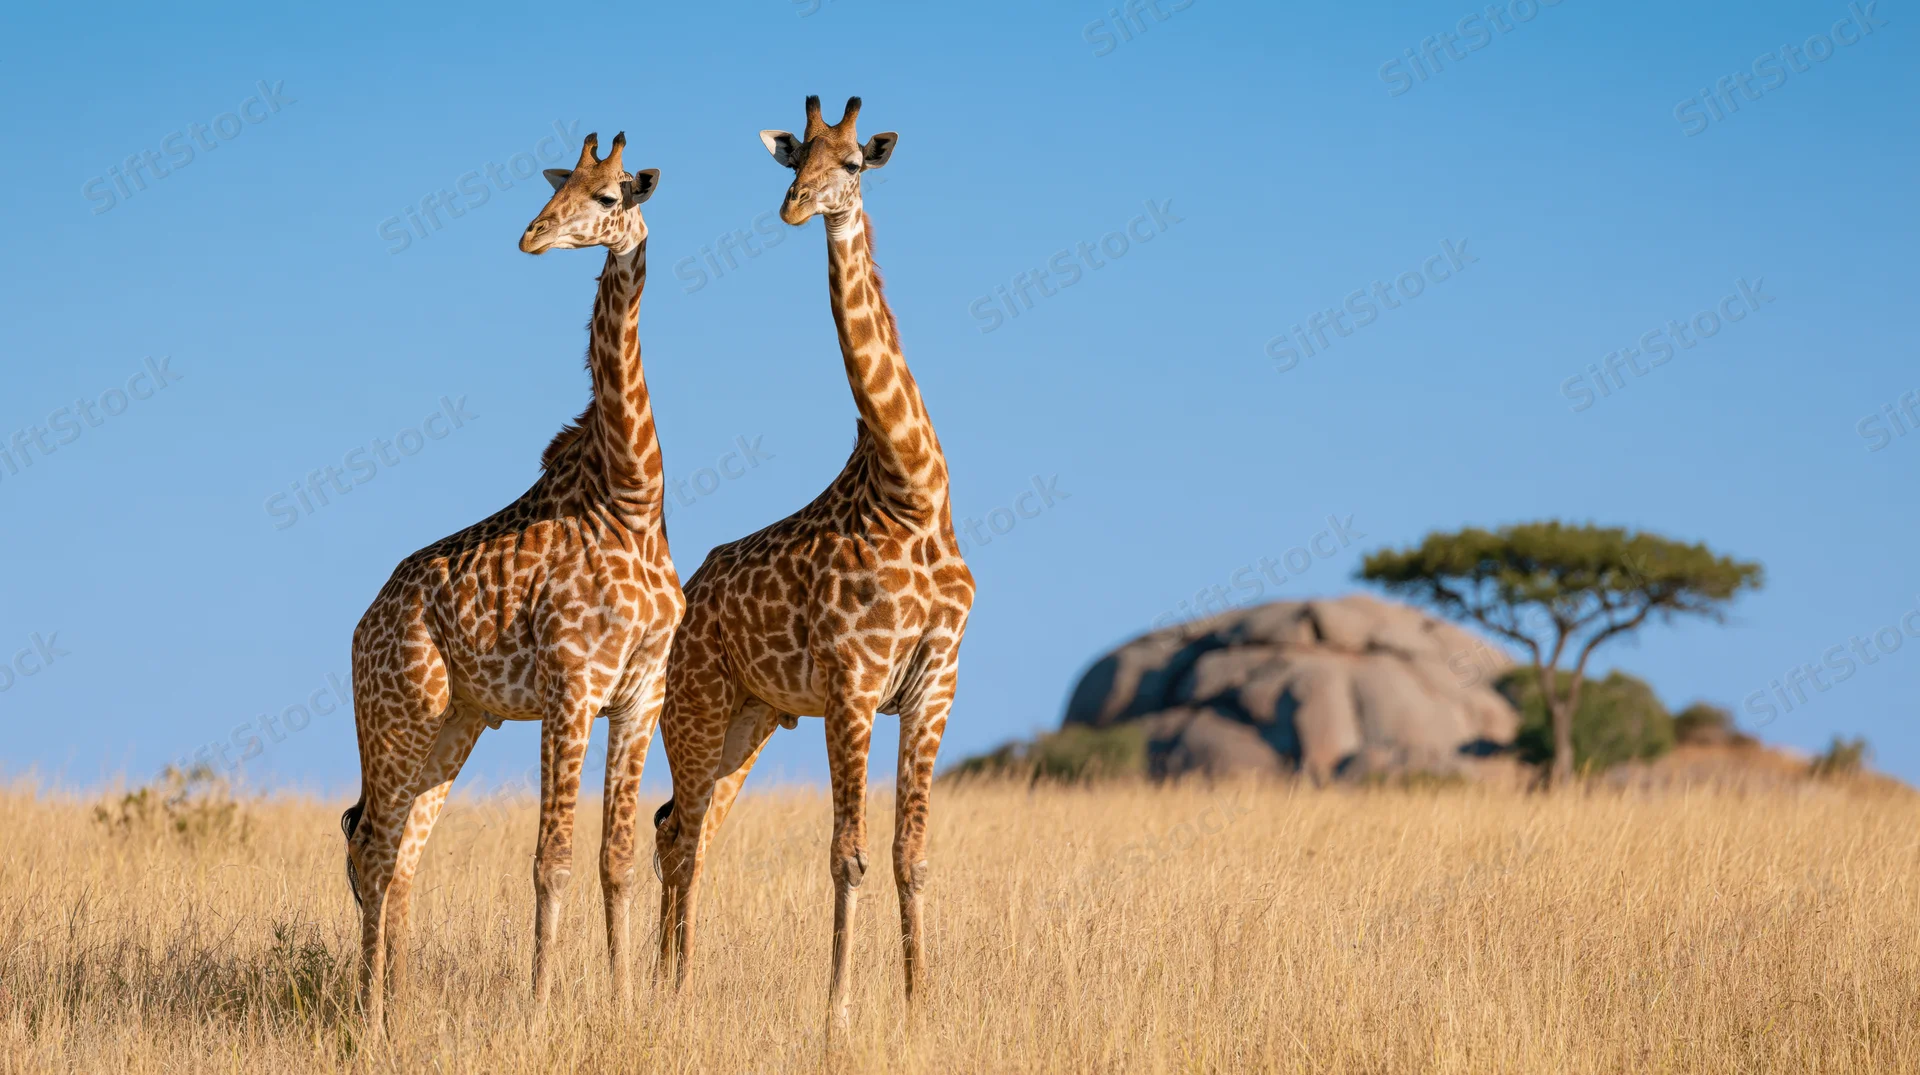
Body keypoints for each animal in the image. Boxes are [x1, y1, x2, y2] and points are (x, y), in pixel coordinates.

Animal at [341, 131, 683, 1031]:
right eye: (561, 186)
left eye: (610, 195)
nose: (532, 235)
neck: (633, 498)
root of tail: (359, 628)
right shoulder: (570, 685)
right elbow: (550, 856)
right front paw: (537, 1009)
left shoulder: (640, 692)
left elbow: (615, 857)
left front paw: (624, 1005)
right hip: (400, 712)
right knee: (372, 844)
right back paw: (371, 1016)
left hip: (456, 720)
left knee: (402, 852)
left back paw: (397, 1005)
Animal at [652, 95, 975, 1027]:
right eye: (797, 159)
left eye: (854, 163)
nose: (795, 207)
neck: (912, 488)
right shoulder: (853, 682)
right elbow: (848, 853)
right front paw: (837, 1012)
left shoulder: (934, 680)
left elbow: (910, 853)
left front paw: (918, 1003)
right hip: (695, 704)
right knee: (679, 833)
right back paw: (672, 989)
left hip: (752, 717)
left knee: (680, 829)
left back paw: (667, 979)